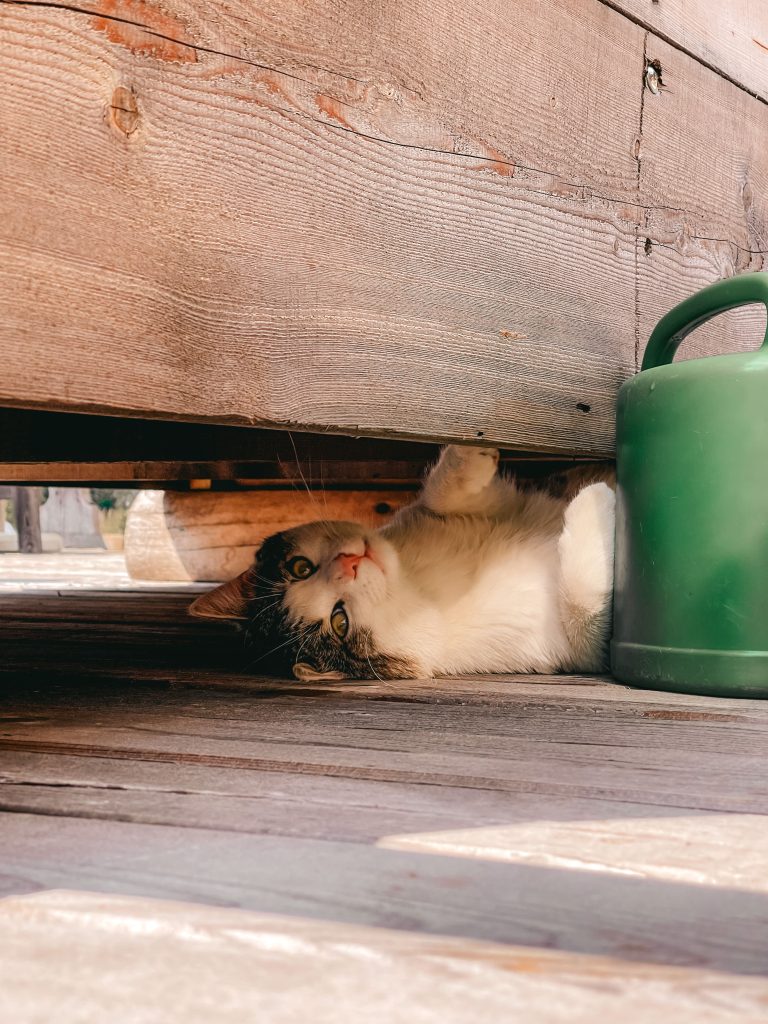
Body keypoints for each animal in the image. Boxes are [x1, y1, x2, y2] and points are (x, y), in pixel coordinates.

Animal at [192, 446, 618, 679]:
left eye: (299, 568)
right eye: (340, 621)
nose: (350, 562)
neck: (421, 583)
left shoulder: (501, 505)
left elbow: (442, 494)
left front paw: (468, 451)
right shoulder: (569, 650)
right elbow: (584, 614)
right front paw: (594, 502)